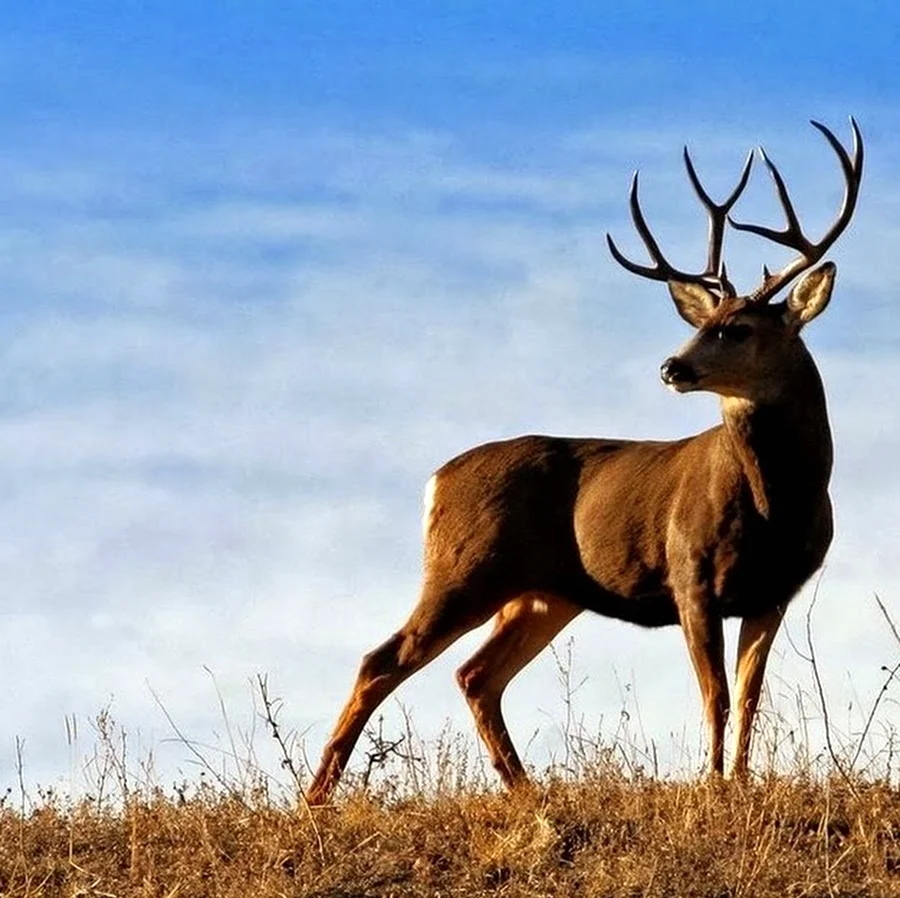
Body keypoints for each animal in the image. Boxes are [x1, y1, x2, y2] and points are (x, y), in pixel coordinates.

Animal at [308, 119, 864, 804]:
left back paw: (524, 790)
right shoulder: (689, 575)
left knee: (476, 675)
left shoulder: (774, 592)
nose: (672, 366)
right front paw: (710, 786)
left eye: (739, 329)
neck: (775, 507)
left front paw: (737, 782)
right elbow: (716, 695)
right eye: (703, 321)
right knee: (383, 660)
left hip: (543, 594)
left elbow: (750, 697)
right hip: (465, 568)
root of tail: (435, 481)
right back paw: (316, 798)